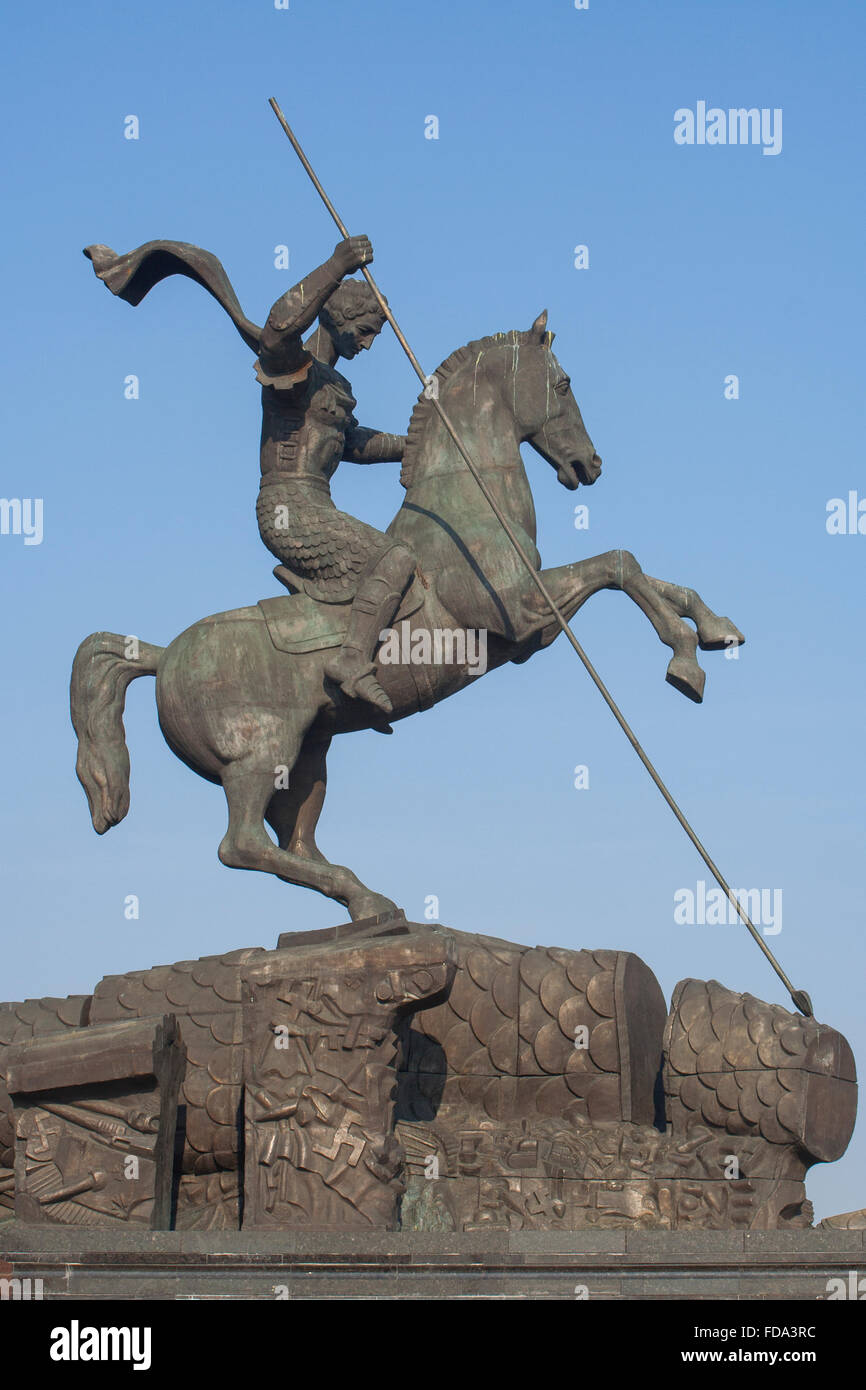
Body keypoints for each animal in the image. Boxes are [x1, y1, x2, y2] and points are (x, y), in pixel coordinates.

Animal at [69, 315, 745, 922]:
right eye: (562, 384)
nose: (590, 465)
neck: (468, 501)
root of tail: (163, 657)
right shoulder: (526, 615)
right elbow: (618, 566)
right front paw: (685, 664)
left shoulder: (537, 623)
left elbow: (640, 571)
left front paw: (716, 630)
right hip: (261, 754)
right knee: (242, 845)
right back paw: (365, 897)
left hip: (308, 759)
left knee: (295, 842)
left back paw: (366, 902)